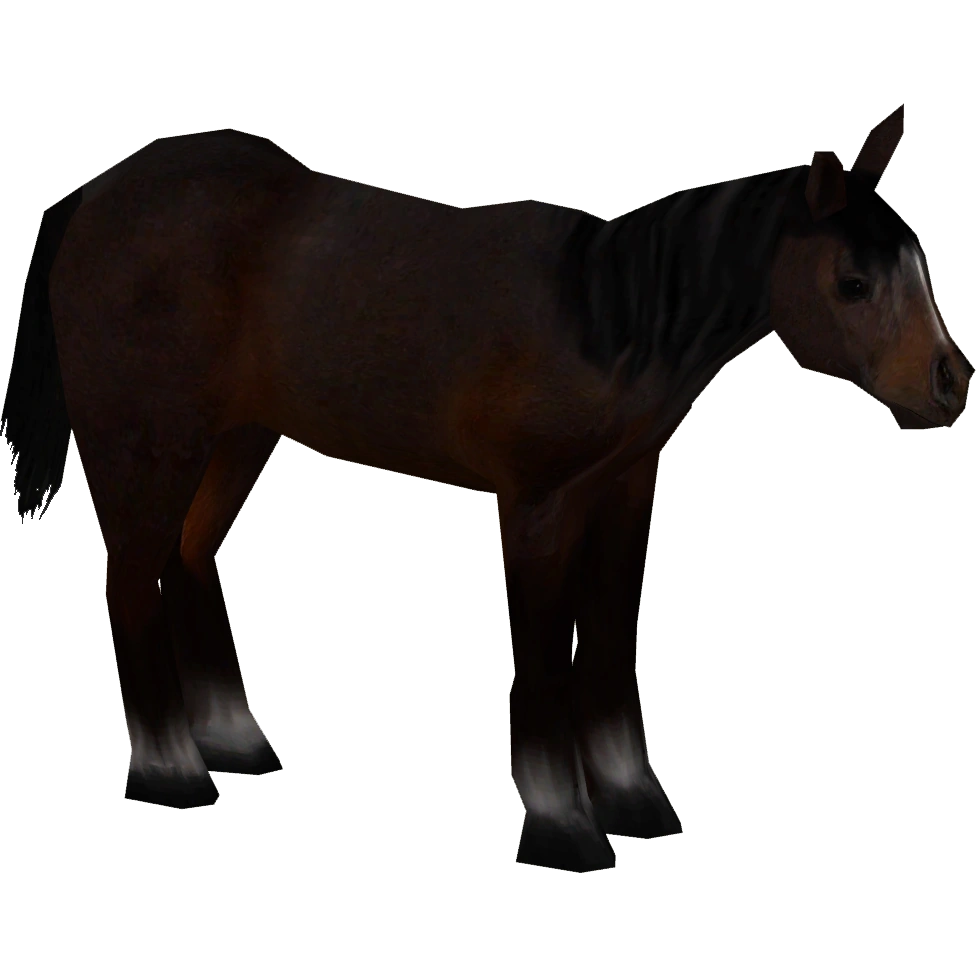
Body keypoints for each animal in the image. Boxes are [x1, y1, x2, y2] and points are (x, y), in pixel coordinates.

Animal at [1, 101, 969, 874]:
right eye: (852, 280)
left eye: (919, 259)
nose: (950, 386)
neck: (607, 317)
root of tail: (94, 195)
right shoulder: (538, 507)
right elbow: (543, 651)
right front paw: (561, 827)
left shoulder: (624, 495)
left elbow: (611, 636)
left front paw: (637, 803)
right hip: (148, 444)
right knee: (130, 577)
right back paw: (168, 772)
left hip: (236, 441)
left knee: (188, 556)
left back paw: (235, 743)